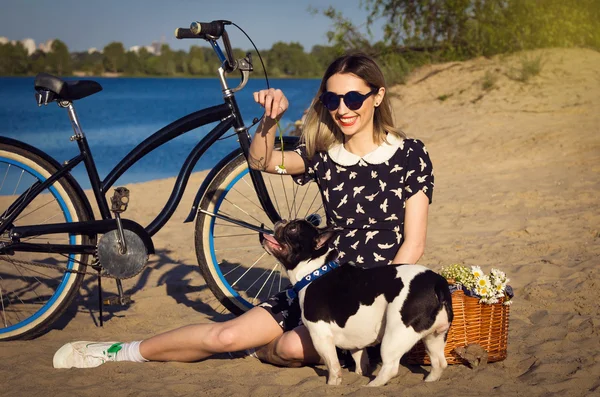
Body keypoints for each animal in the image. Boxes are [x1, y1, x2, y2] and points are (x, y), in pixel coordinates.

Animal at [260, 218, 452, 386]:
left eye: (293, 229)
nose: (281, 221)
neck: (313, 271)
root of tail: (438, 283)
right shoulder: (354, 338)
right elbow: (360, 358)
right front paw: (360, 373)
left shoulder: (320, 336)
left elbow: (332, 365)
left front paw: (332, 384)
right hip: (434, 336)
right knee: (439, 362)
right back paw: (429, 381)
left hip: (396, 334)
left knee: (390, 367)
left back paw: (372, 386)